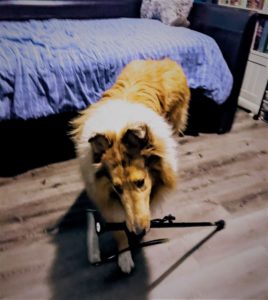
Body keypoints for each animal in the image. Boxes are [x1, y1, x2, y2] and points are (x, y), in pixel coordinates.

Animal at [70, 57, 189, 274]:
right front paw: (125, 256)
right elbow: (118, 230)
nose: (139, 230)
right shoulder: (107, 197)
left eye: (140, 182)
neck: (117, 129)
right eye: (117, 188)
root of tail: (161, 60)